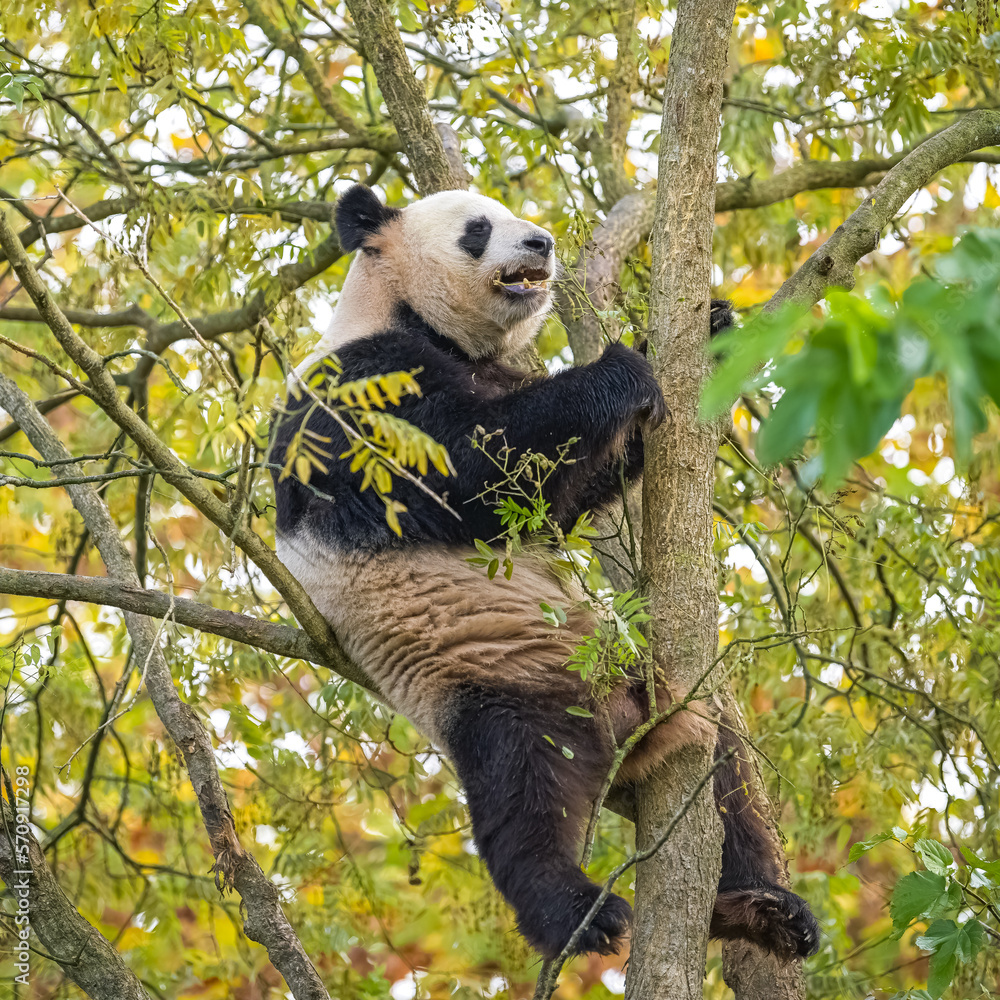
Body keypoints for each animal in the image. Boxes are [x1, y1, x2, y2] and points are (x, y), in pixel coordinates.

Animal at [270, 184, 819, 961]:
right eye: (478, 228)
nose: (542, 243)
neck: (402, 311)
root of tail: (614, 727)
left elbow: (554, 499)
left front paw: (711, 331)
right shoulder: (359, 389)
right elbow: (470, 467)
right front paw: (620, 367)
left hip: (656, 690)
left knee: (724, 779)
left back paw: (762, 907)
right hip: (490, 679)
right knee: (523, 799)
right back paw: (582, 915)